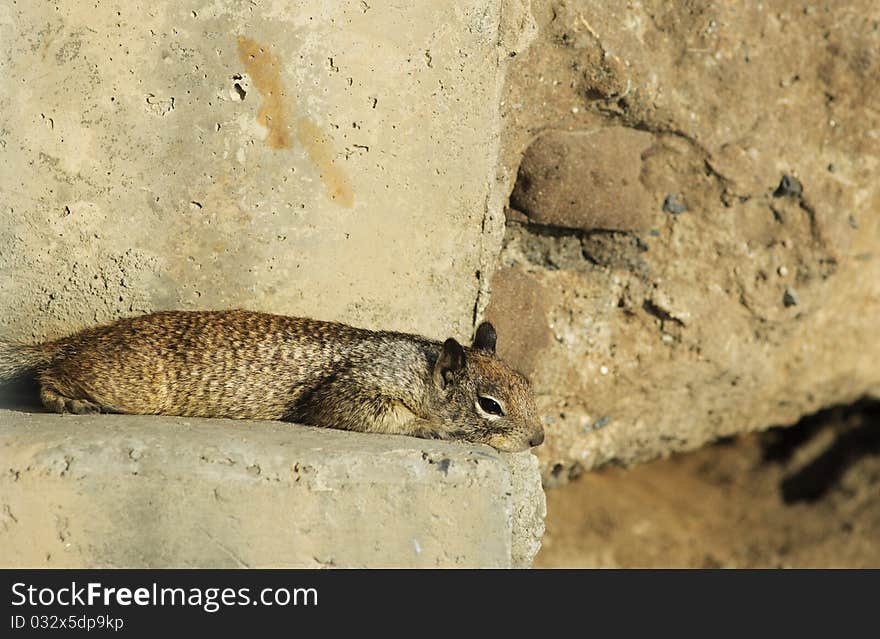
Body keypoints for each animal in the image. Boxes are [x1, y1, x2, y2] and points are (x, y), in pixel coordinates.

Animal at [0, 308, 548, 450]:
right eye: (490, 405)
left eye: (527, 385)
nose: (539, 439)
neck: (421, 366)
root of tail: (79, 338)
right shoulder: (355, 385)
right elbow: (361, 409)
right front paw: (437, 429)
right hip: (126, 382)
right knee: (48, 373)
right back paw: (66, 400)